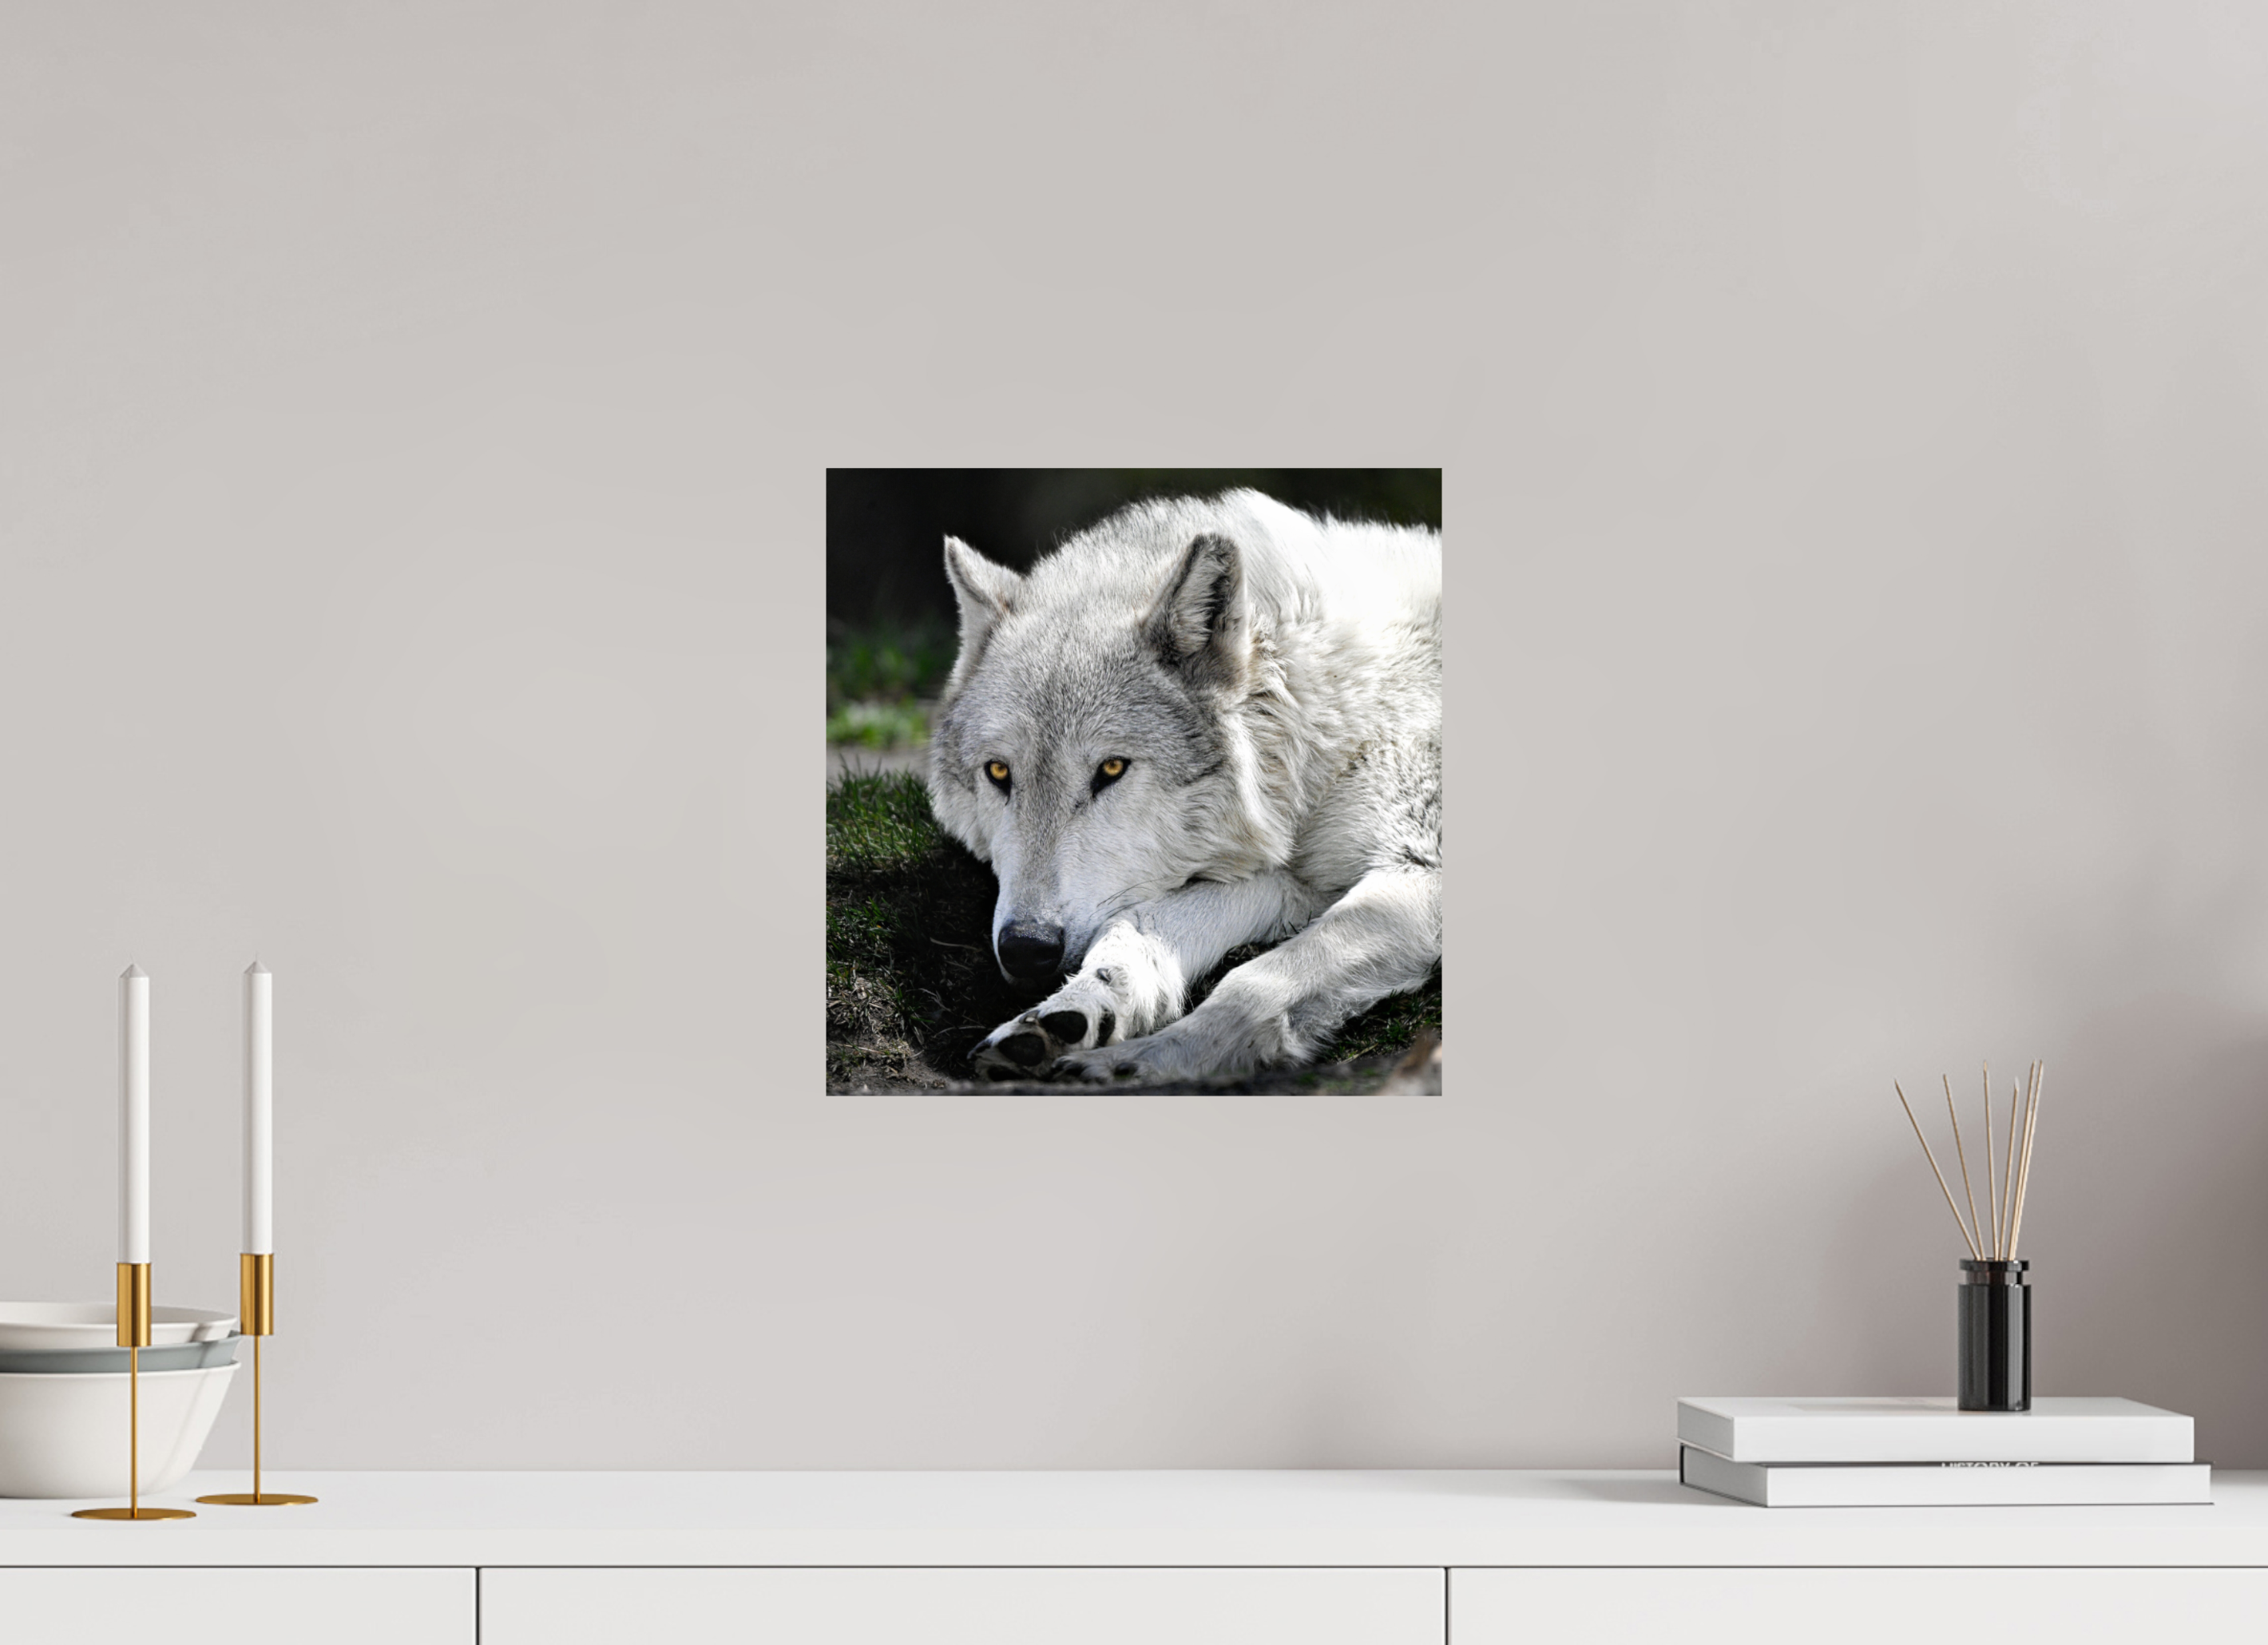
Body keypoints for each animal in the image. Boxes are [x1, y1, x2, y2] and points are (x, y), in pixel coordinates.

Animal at [926, 489, 1441, 1085]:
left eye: (1111, 769)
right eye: (999, 773)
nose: (1025, 949)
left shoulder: (1420, 872)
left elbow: (1256, 980)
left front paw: (1142, 1063)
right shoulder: (1298, 883)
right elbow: (1134, 924)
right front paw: (1076, 1011)